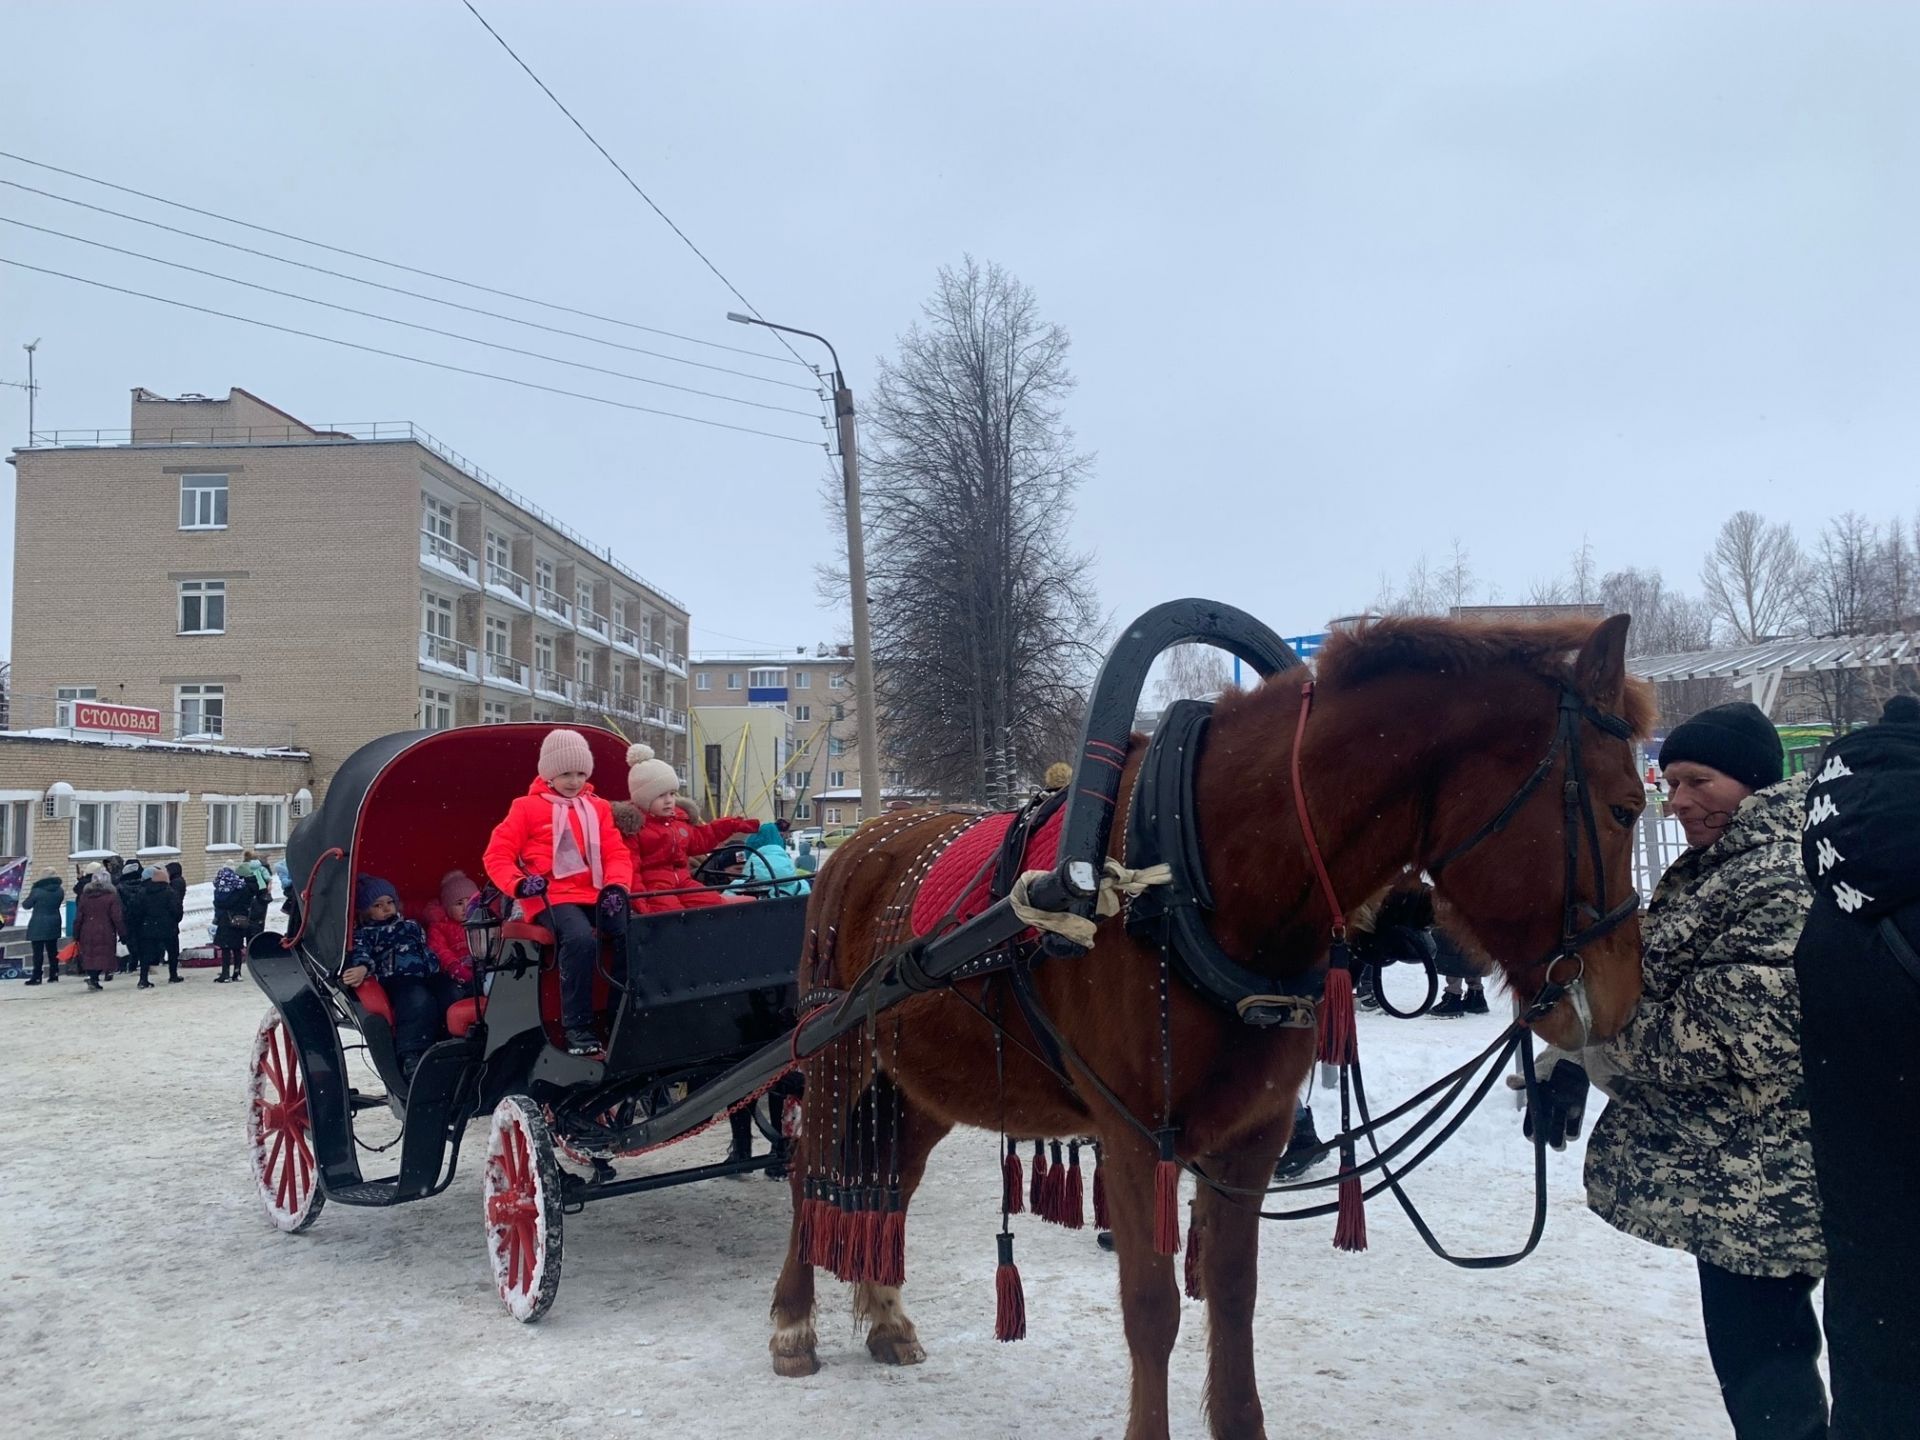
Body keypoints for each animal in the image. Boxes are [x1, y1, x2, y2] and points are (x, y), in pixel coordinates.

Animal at [764, 614, 1651, 1436]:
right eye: (1624, 807)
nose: (1621, 1004)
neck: (1188, 872)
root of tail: (858, 845)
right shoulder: (1135, 1140)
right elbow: (1152, 1309)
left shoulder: (1251, 1136)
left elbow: (1232, 1296)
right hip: (838, 1055)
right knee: (812, 1176)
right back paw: (793, 1323)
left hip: (919, 1083)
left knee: (891, 1181)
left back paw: (885, 1315)